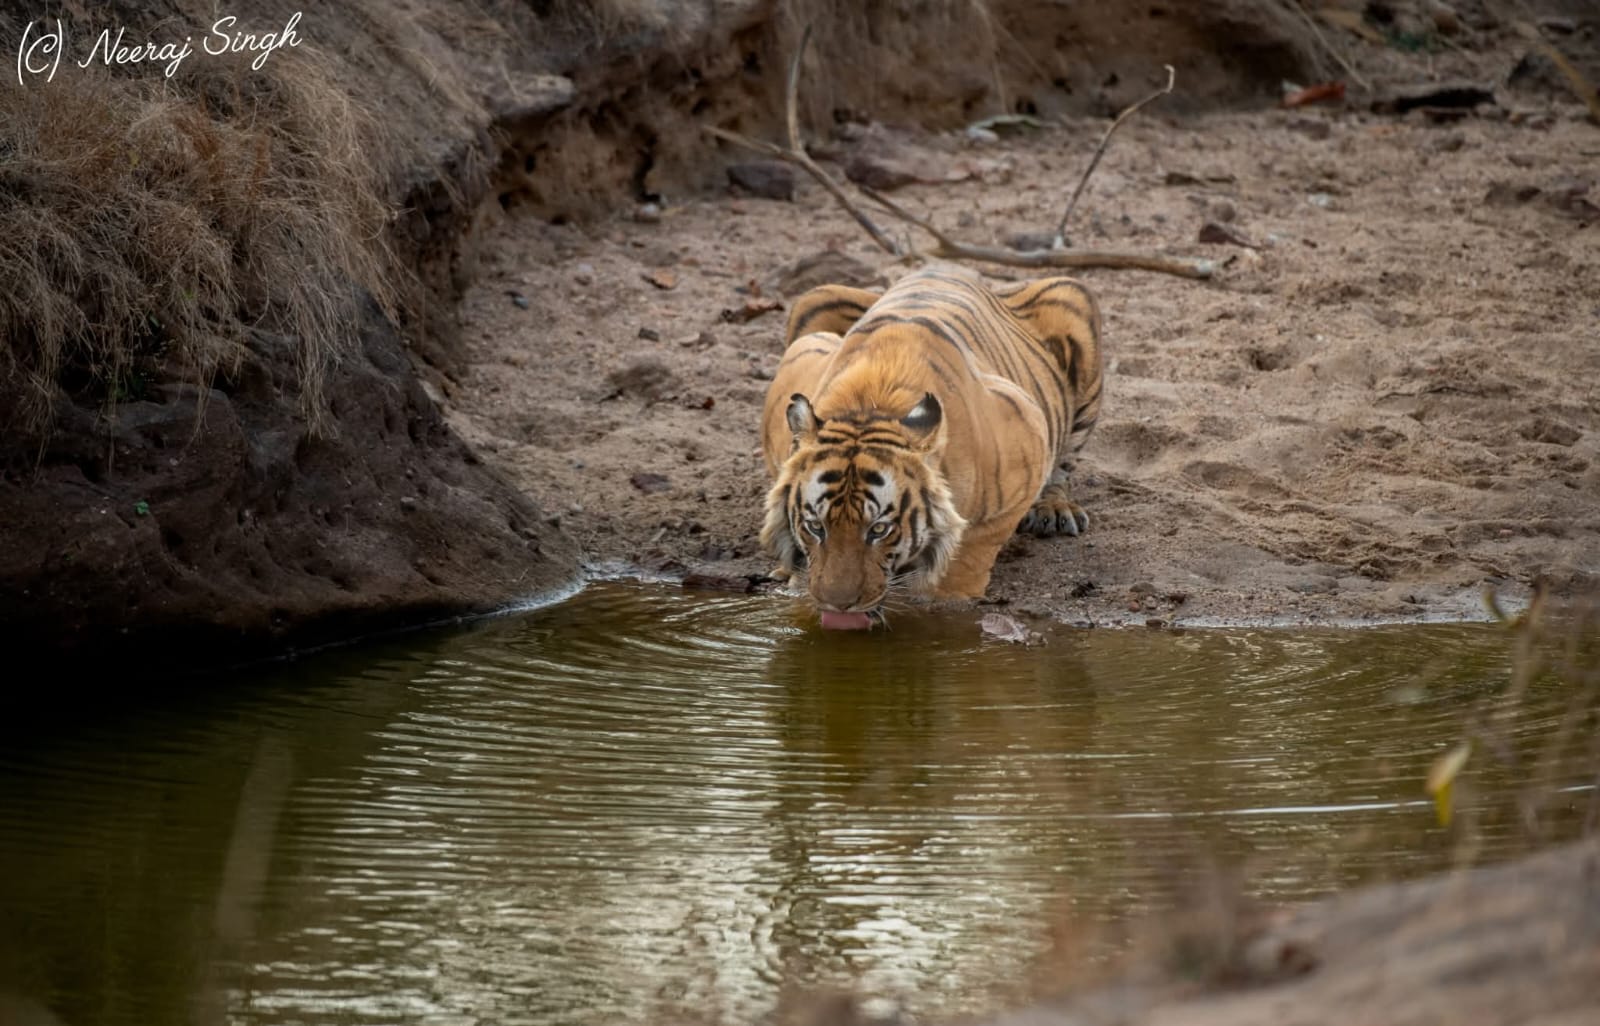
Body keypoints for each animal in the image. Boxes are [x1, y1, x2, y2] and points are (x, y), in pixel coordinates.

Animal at [759, 264, 1104, 630]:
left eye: (879, 529)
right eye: (816, 527)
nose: (838, 606)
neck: (869, 403)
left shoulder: (1028, 429)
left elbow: (970, 549)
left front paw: (948, 600)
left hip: (1072, 295)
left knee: (1063, 467)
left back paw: (1055, 511)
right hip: (815, 298)